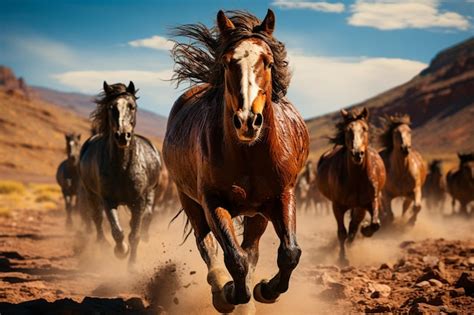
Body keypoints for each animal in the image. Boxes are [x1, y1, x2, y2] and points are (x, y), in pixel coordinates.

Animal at [79, 82, 163, 270]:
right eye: (111, 107)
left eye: (132, 106)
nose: (122, 136)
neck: (122, 167)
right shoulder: (108, 200)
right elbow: (117, 231)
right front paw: (121, 251)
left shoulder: (138, 201)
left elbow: (134, 234)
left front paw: (132, 265)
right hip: (90, 193)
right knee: (96, 218)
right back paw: (103, 245)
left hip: (150, 193)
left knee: (145, 217)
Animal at [163, 9, 310, 314]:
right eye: (228, 62)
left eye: (268, 62)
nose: (247, 121)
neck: (248, 156)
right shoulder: (212, 202)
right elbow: (235, 258)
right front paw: (230, 293)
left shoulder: (282, 196)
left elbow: (289, 253)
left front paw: (266, 290)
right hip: (188, 200)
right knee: (206, 244)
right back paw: (220, 287)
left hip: (257, 213)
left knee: (251, 248)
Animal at [314, 108, 386, 266]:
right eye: (347, 130)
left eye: (365, 129)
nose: (357, 154)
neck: (356, 179)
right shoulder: (337, 206)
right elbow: (342, 232)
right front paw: (343, 258)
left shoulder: (371, 201)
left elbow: (375, 224)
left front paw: (365, 229)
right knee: (350, 228)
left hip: (360, 207)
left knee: (354, 225)